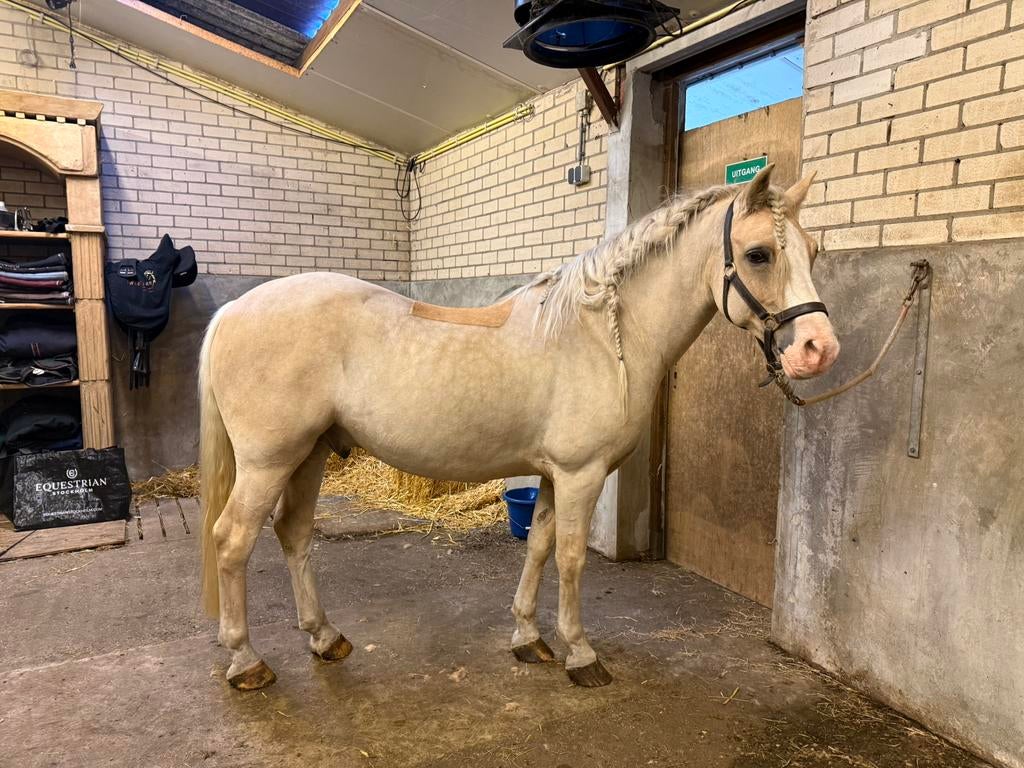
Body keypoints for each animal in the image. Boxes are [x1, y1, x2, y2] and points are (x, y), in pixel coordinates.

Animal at [198, 164, 839, 691]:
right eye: (758, 254)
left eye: (814, 250)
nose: (818, 349)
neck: (601, 336)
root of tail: (231, 311)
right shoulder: (582, 474)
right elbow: (573, 558)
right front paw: (581, 654)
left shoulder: (554, 474)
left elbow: (538, 546)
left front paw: (530, 639)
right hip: (269, 460)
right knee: (232, 539)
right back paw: (246, 661)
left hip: (308, 455)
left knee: (293, 534)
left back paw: (325, 637)